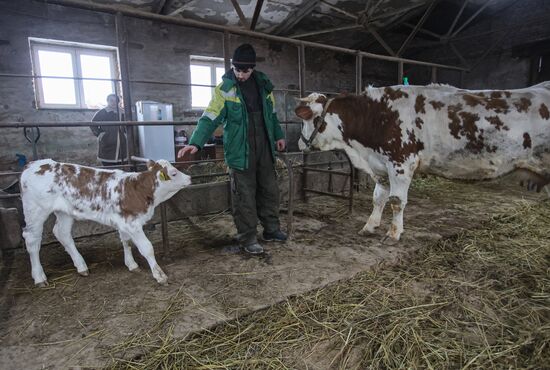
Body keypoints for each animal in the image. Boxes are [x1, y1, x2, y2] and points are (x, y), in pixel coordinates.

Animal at [20, 159, 192, 286]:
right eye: (174, 173)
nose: (189, 178)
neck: (138, 189)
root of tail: (33, 165)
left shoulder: (123, 221)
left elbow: (126, 241)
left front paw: (131, 264)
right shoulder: (132, 223)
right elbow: (147, 248)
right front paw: (159, 275)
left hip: (65, 212)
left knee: (62, 233)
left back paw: (81, 266)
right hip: (35, 211)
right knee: (32, 240)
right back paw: (39, 277)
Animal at [298, 82, 550, 241]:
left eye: (309, 118)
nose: (300, 143)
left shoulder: (401, 163)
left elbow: (396, 201)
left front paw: (393, 233)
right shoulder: (380, 165)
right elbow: (378, 198)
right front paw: (370, 226)